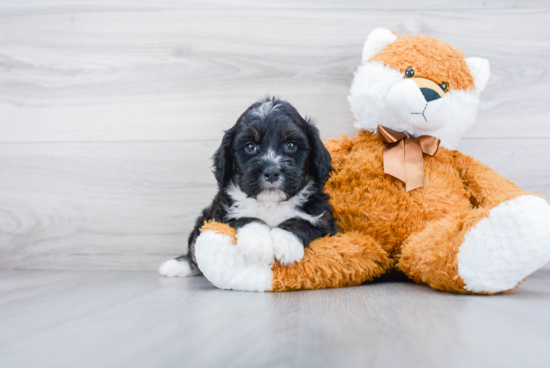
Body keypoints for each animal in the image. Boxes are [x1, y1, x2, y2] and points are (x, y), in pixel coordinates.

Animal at [160, 97, 338, 276]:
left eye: (291, 145)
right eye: (250, 147)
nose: (271, 172)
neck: (270, 203)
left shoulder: (325, 221)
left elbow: (302, 221)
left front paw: (286, 241)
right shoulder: (221, 213)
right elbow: (247, 217)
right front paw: (258, 243)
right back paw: (176, 266)